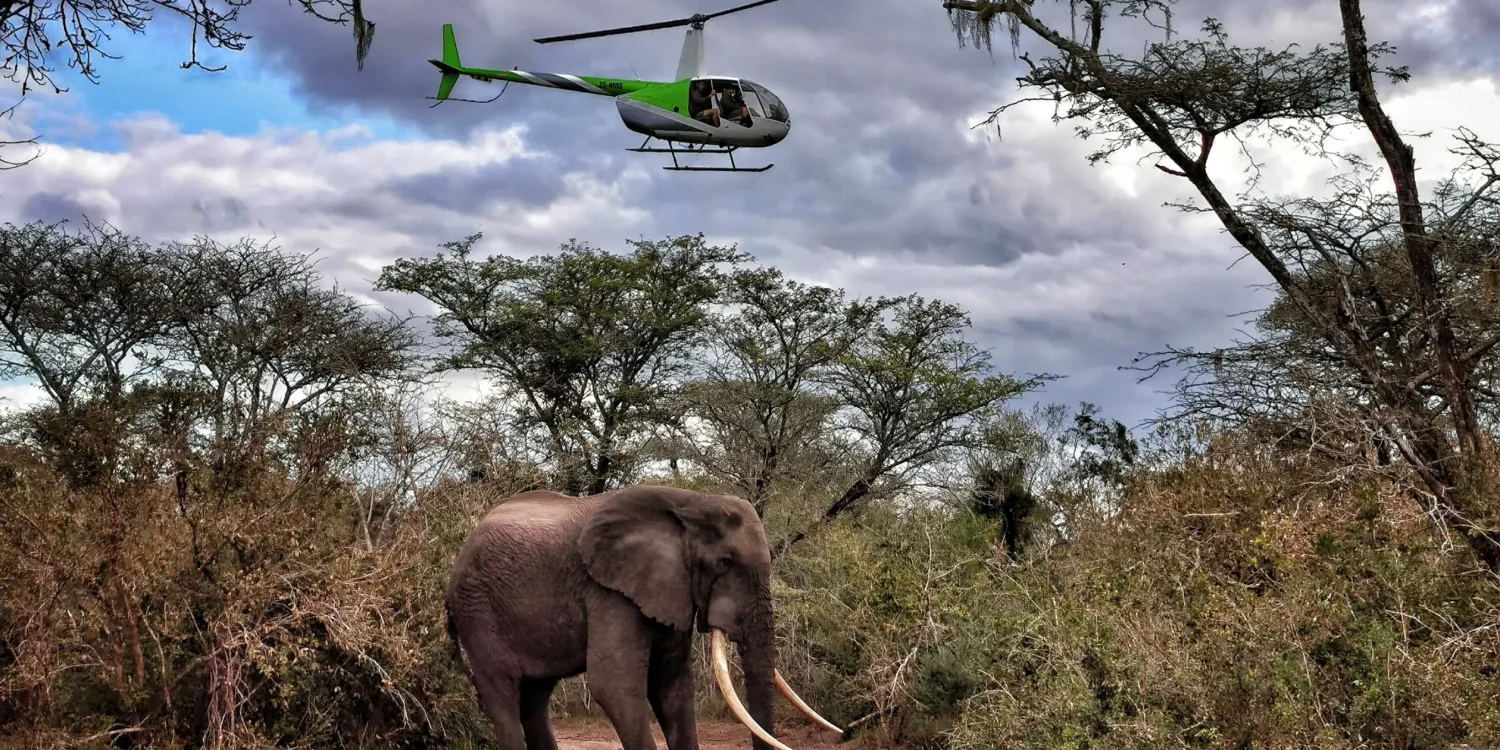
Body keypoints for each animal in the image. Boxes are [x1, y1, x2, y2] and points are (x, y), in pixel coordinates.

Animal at [444, 484, 841, 750]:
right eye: (724, 563)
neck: (689, 503)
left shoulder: (671, 589)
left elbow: (672, 688)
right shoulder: (609, 592)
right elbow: (614, 686)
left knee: (535, 698)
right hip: (477, 613)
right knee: (503, 696)